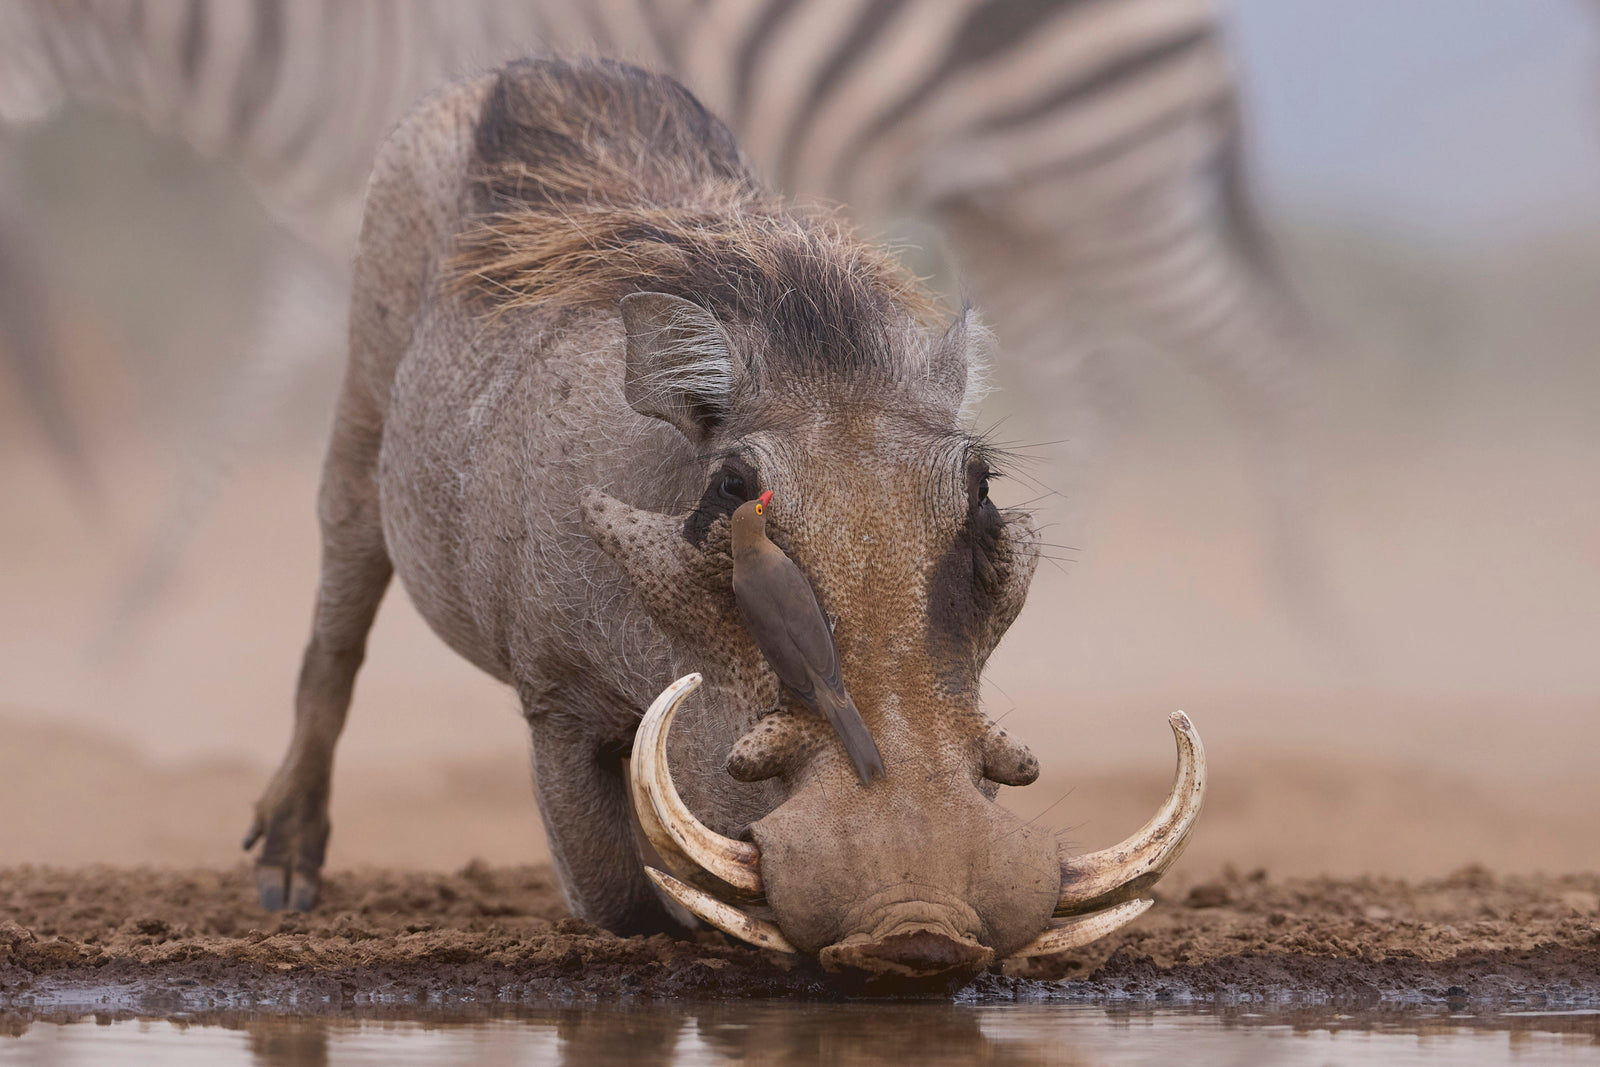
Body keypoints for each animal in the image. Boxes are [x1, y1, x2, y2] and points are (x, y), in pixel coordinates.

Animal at [0, 0, 1324, 635]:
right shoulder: (337, 222)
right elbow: (247, 396)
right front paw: (131, 607)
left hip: (1101, 178)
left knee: (1261, 357)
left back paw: (1312, 610)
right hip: (1011, 209)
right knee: (1093, 379)